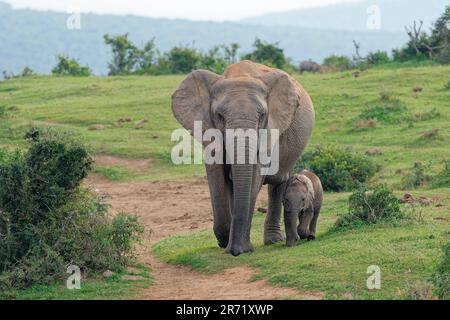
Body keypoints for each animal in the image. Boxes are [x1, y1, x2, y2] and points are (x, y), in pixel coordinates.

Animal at [172, 59, 316, 255]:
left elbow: (254, 176)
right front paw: (225, 242)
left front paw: (241, 248)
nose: (235, 251)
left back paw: (273, 240)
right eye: (220, 116)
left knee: (278, 182)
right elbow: (217, 177)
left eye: (262, 115)